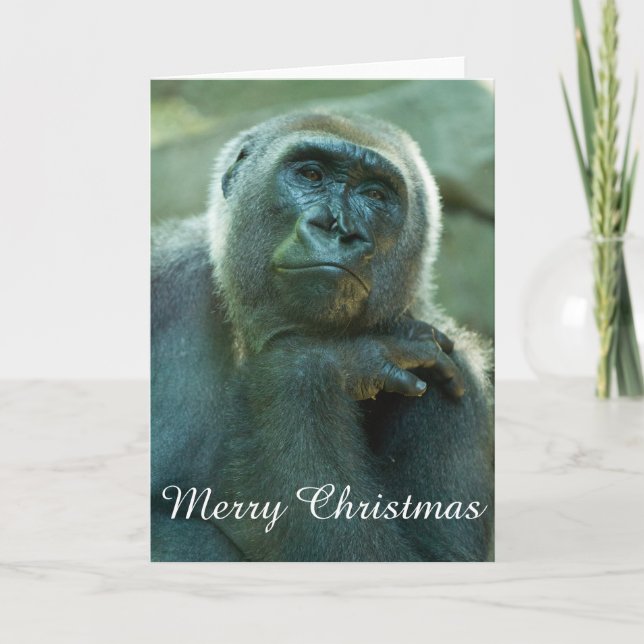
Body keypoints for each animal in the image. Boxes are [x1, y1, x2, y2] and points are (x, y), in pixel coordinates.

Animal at [151, 111, 493, 562]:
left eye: (376, 195)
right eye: (311, 174)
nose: (338, 228)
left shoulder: (454, 375)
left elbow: (436, 556)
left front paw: (309, 364)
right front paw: (348, 357)